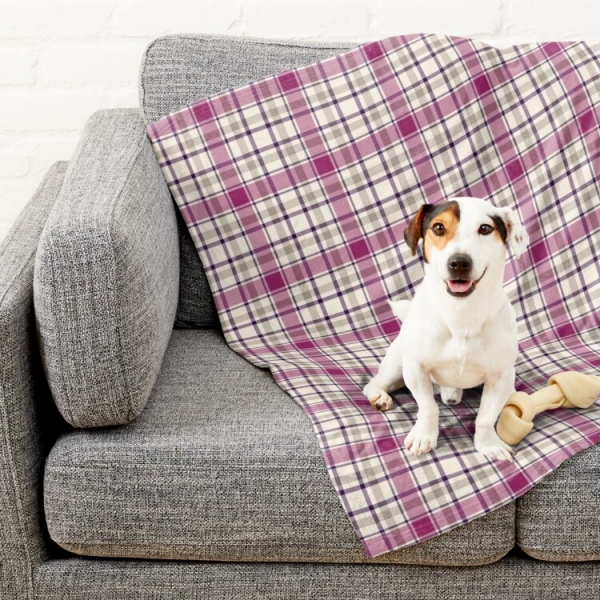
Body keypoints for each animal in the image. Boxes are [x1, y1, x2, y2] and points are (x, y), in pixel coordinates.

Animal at [364, 199, 528, 462]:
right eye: (438, 228)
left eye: (485, 228)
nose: (459, 262)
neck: (461, 315)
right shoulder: (416, 368)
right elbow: (428, 408)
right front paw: (424, 437)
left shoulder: (501, 376)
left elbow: (486, 417)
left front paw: (488, 444)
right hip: (397, 364)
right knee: (374, 382)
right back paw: (379, 397)